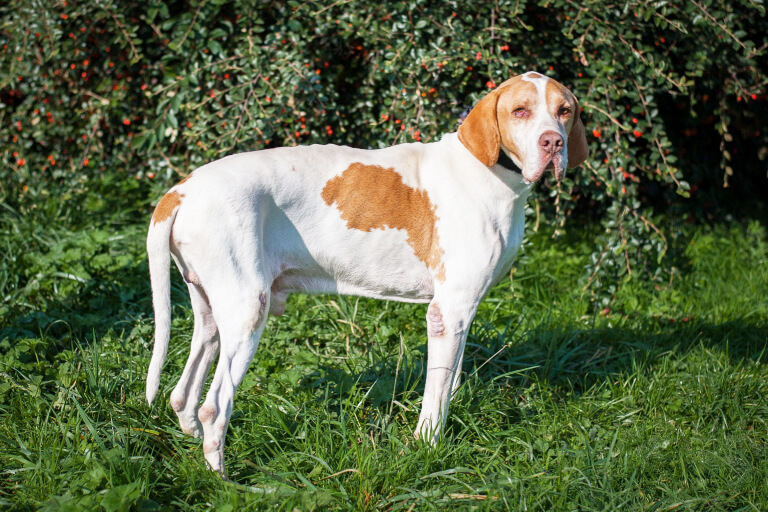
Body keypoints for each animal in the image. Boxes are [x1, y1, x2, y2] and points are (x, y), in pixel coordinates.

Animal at [144, 70, 588, 474]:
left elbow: (450, 381)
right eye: (520, 111)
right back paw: (226, 482)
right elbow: (435, 397)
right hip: (247, 313)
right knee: (214, 407)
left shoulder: (463, 312)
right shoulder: (448, 313)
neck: (489, 172)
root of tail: (181, 190)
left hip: (211, 315)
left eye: (564, 111)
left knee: (183, 394)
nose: (553, 143)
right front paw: (426, 447)